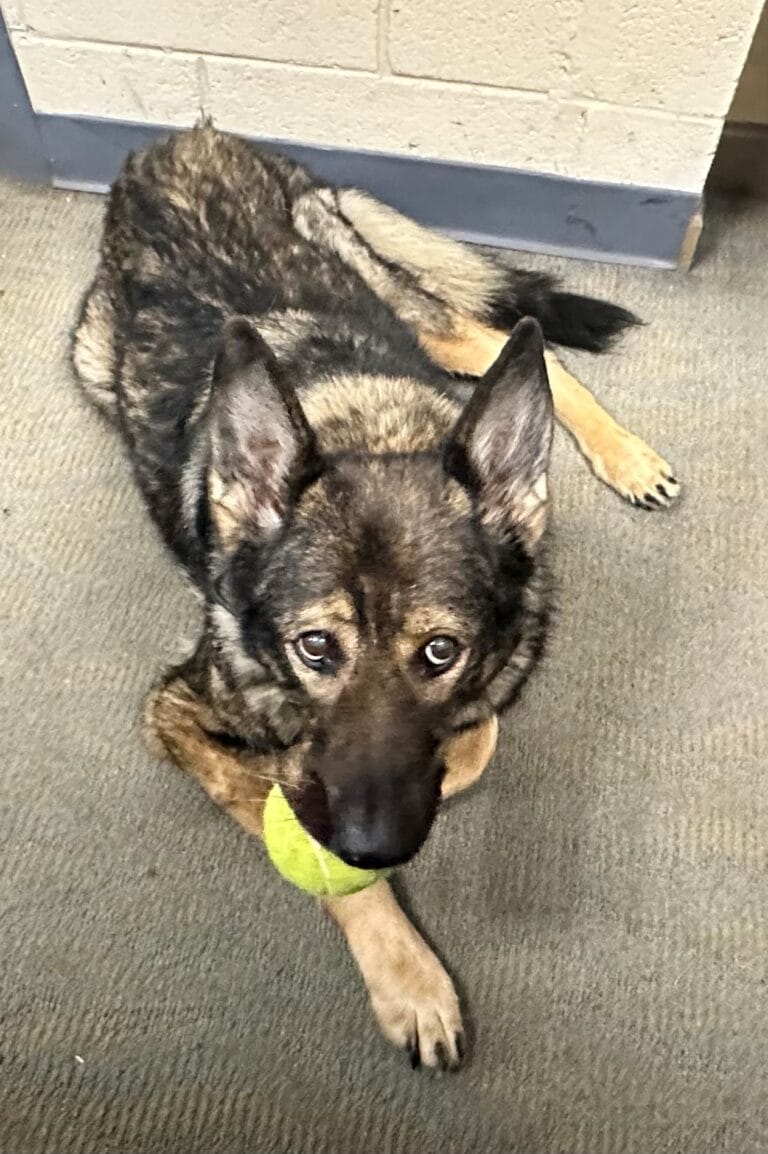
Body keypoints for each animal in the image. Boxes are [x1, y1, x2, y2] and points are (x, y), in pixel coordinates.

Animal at [71, 126, 678, 1070]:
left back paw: (626, 454)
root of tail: (186, 139)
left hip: (397, 304)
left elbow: (473, 741)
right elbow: (300, 819)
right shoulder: (173, 712)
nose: (375, 841)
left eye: (441, 651)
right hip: (96, 358)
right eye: (315, 647)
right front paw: (409, 978)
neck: (374, 434)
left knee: (508, 342)